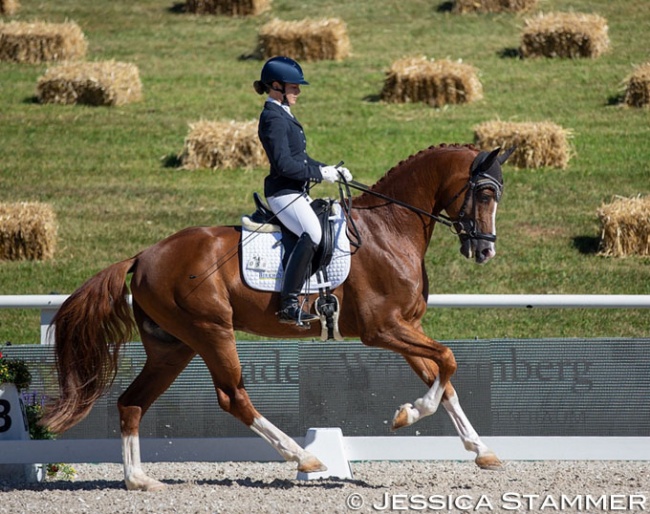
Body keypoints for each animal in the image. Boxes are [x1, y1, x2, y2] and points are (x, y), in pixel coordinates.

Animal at [44, 143, 512, 488]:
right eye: (485, 193)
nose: (485, 251)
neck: (389, 230)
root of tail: (143, 255)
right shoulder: (383, 329)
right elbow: (448, 360)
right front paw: (408, 414)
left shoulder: (407, 327)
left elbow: (443, 379)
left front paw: (481, 450)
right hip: (211, 332)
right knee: (232, 396)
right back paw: (304, 457)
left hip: (172, 347)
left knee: (132, 402)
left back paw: (138, 480)